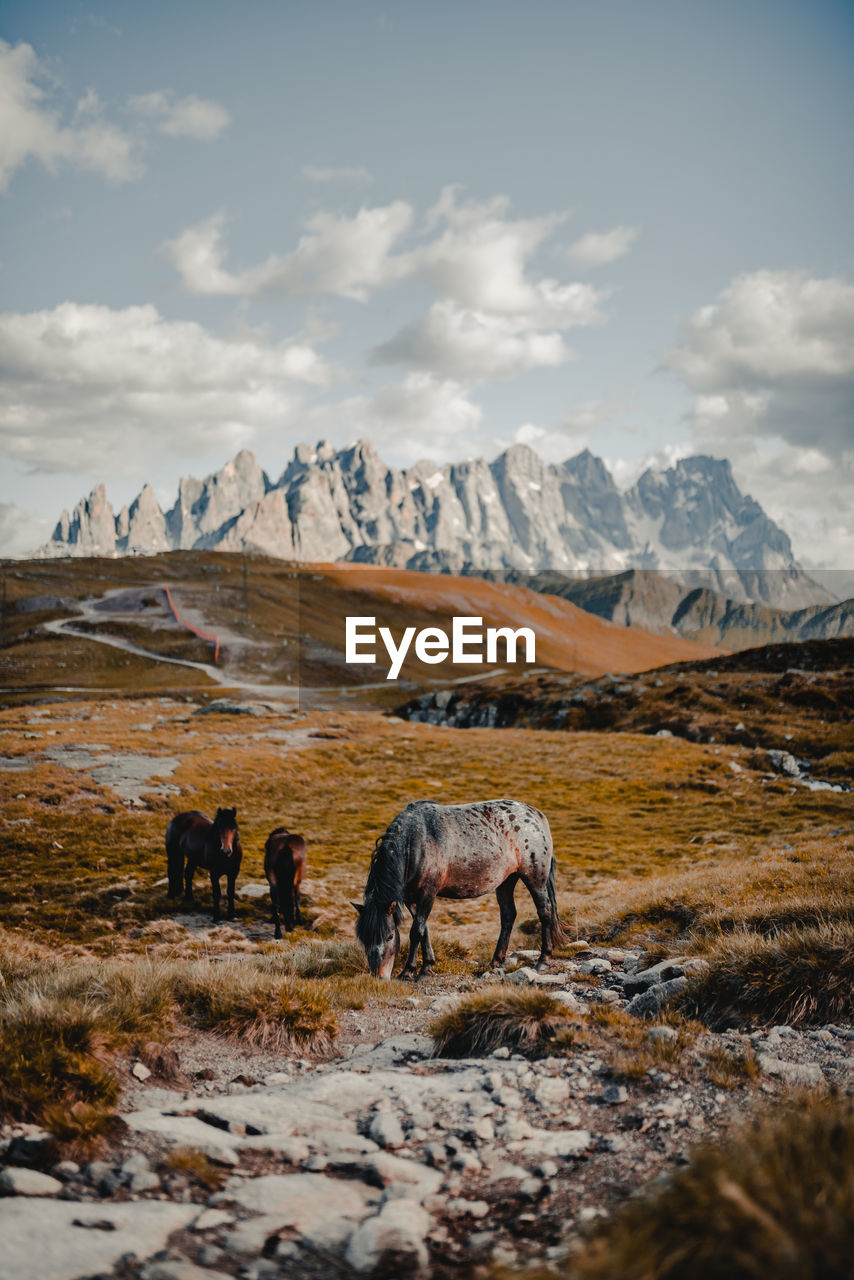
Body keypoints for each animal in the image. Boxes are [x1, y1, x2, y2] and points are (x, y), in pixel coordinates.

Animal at [350, 798, 563, 977]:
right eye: (364, 939)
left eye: (389, 936)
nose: (379, 976)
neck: (415, 842)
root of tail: (536, 815)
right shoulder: (411, 898)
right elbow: (424, 930)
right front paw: (427, 967)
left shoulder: (428, 893)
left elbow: (416, 931)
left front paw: (409, 972)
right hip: (506, 881)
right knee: (508, 915)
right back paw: (495, 961)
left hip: (535, 878)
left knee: (544, 911)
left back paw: (543, 960)